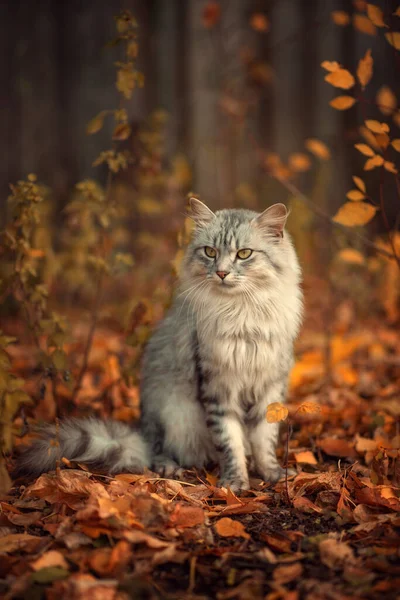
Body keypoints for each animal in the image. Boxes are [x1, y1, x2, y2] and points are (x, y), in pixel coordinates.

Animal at [14, 199, 304, 490]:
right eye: (210, 252)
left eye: (244, 254)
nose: (221, 273)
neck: (243, 315)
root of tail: (142, 431)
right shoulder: (218, 388)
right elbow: (229, 442)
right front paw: (234, 482)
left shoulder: (270, 387)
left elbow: (265, 440)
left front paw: (273, 474)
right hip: (169, 410)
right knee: (156, 451)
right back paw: (170, 468)